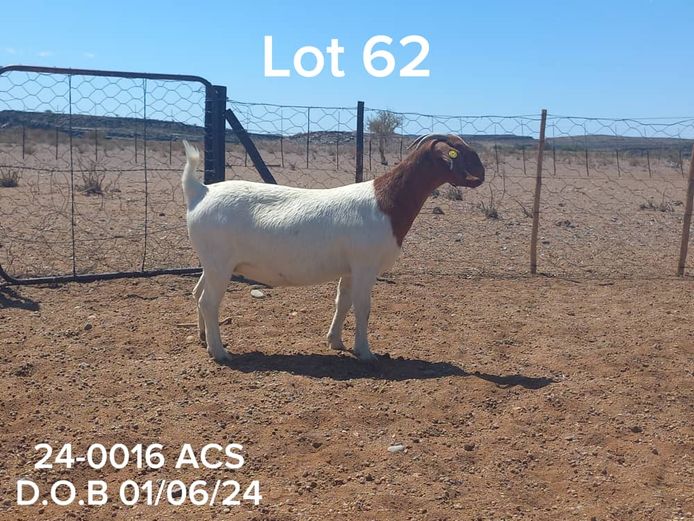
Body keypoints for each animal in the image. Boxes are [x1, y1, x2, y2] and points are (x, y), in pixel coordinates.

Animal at [182, 135, 484, 363]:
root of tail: (200, 191)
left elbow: (343, 302)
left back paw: (203, 338)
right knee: (208, 301)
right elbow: (363, 307)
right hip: (220, 264)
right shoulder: (365, 265)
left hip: (212, 263)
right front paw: (366, 353)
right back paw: (220, 352)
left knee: (197, 293)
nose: (479, 178)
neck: (385, 202)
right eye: (458, 153)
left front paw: (336, 342)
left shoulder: (350, 269)